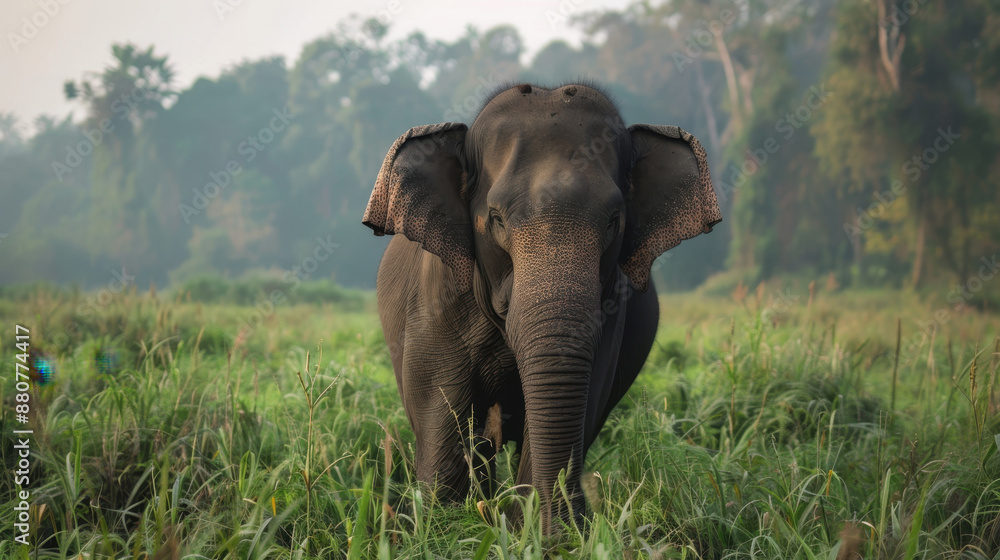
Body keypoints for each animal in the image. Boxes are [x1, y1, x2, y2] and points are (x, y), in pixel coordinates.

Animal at [362, 82, 721, 532]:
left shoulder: (609, 317)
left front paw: (531, 530)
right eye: (496, 218)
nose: (582, 524)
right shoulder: (436, 302)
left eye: (613, 221)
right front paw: (447, 526)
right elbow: (440, 409)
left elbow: (579, 404)